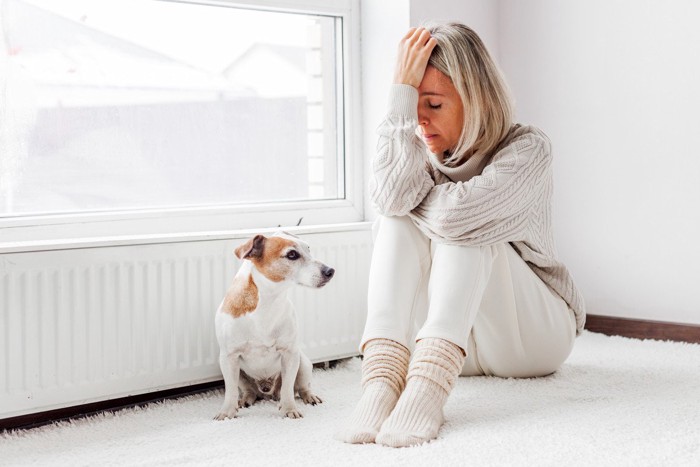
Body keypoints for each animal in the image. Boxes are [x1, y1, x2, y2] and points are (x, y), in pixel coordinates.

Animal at [213, 231, 334, 420]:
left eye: (308, 249)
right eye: (292, 254)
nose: (330, 271)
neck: (269, 300)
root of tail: (266, 392)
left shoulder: (290, 354)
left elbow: (288, 389)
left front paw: (289, 409)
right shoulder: (228, 357)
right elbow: (230, 391)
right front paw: (227, 413)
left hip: (303, 363)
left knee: (300, 387)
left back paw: (309, 397)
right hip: (237, 372)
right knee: (249, 391)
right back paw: (245, 400)